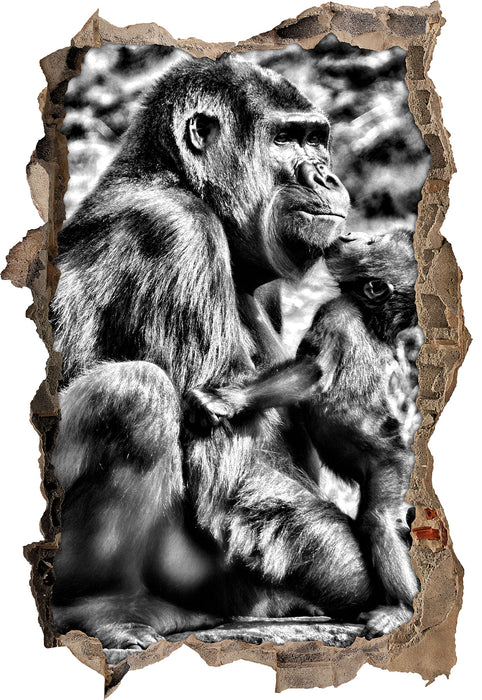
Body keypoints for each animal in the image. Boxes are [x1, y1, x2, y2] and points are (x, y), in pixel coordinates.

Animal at [50, 56, 381, 657]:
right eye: (285, 139)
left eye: (316, 140)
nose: (326, 177)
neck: (177, 176)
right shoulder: (175, 232)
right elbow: (231, 466)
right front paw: (380, 584)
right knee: (134, 396)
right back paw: (98, 607)